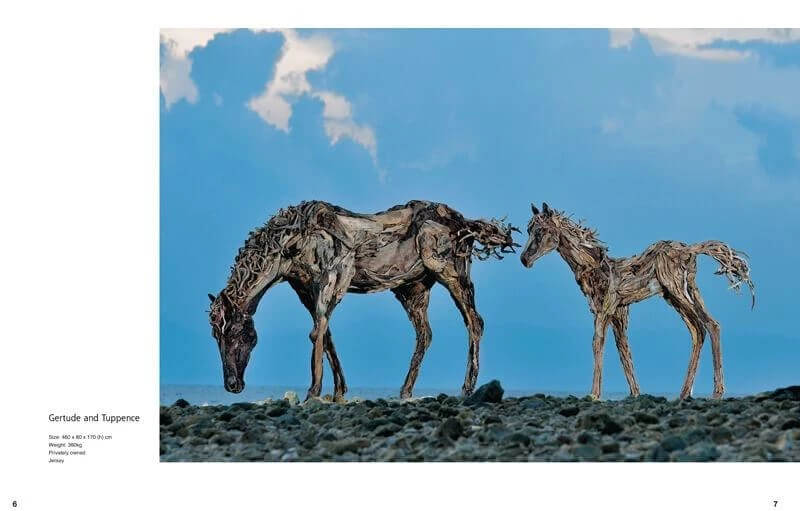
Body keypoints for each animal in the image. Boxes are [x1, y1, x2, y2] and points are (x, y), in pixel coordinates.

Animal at [208, 200, 518, 401]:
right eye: (216, 337)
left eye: (236, 333)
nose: (232, 385)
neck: (292, 242)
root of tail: (465, 223)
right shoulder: (305, 289)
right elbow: (325, 333)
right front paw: (338, 391)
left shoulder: (333, 278)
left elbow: (317, 332)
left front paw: (313, 391)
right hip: (413, 289)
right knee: (425, 334)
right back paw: (405, 391)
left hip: (452, 274)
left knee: (474, 322)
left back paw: (467, 389)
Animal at [520, 202, 754, 400]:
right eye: (529, 230)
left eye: (541, 231)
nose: (524, 259)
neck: (594, 267)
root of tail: (691, 250)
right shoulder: (619, 313)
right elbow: (624, 349)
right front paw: (635, 393)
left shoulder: (604, 310)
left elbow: (598, 343)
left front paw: (594, 394)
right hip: (681, 294)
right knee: (705, 327)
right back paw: (688, 393)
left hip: (677, 291)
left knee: (704, 326)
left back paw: (712, 392)